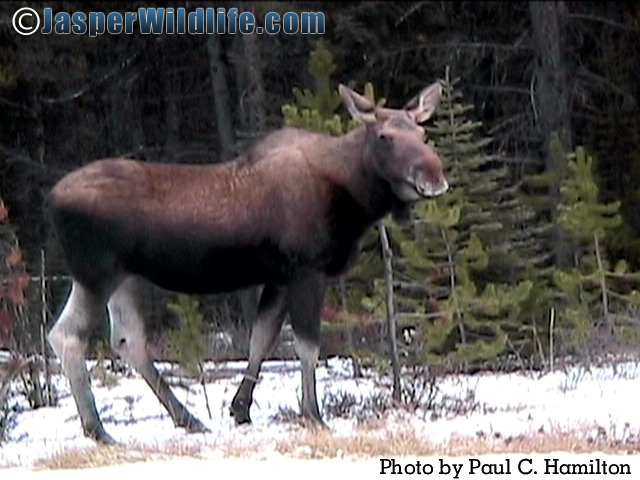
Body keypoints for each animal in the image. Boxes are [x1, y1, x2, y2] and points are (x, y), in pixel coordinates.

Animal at [47, 80, 448, 444]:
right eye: (384, 136)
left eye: (422, 132)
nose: (434, 177)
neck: (353, 198)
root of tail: (50, 200)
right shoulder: (308, 269)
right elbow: (307, 346)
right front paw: (312, 414)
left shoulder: (280, 277)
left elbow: (261, 339)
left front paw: (241, 409)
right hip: (96, 273)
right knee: (66, 335)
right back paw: (98, 429)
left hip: (124, 277)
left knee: (128, 340)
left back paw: (186, 418)